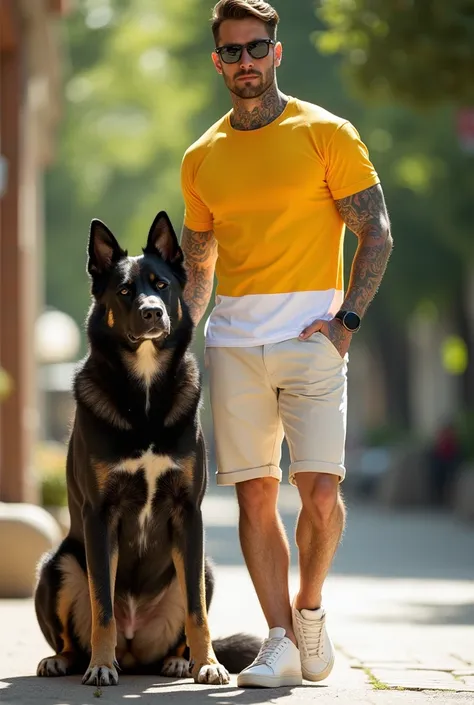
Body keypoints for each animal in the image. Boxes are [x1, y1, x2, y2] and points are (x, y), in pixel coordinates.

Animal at [33, 212, 260, 684]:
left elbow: (197, 612)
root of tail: (136, 652)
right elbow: (102, 604)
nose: (152, 311)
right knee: (72, 636)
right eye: (124, 291)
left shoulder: (188, 514)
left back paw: (178, 660)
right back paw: (65, 660)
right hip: (57, 564)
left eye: (162, 285)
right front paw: (101, 667)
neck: (145, 391)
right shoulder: (100, 516)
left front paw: (208, 663)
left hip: (205, 566)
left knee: (182, 622)